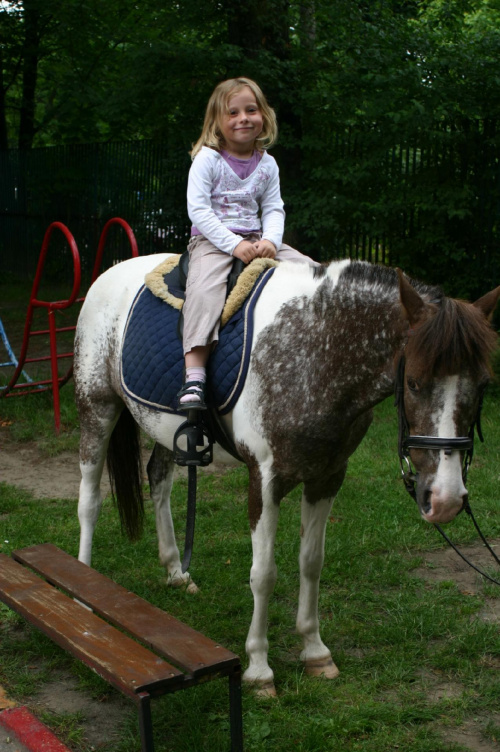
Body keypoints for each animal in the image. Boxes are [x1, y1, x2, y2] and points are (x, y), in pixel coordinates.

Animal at [74, 256, 500, 696]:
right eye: (413, 382)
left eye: (483, 385)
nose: (446, 499)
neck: (315, 352)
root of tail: (112, 271)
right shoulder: (264, 480)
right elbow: (263, 575)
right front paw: (259, 669)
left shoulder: (327, 477)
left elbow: (311, 561)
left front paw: (315, 651)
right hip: (97, 407)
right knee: (89, 500)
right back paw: (82, 592)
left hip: (168, 430)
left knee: (158, 479)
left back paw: (176, 571)